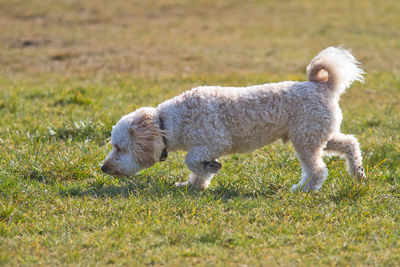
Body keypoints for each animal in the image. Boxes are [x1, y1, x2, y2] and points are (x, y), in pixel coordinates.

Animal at [101, 47, 366, 193]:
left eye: (120, 147)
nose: (103, 168)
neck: (167, 123)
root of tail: (322, 86)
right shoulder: (206, 147)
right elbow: (197, 171)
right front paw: (194, 185)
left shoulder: (214, 142)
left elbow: (191, 160)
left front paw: (209, 169)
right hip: (319, 135)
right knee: (350, 143)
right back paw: (358, 172)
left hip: (306, 141)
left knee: (318, 170)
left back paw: (302, 190)